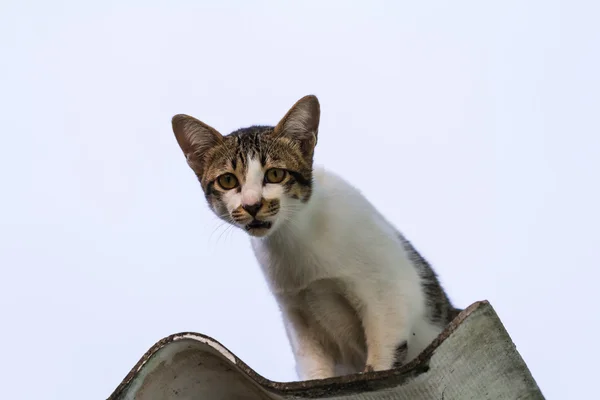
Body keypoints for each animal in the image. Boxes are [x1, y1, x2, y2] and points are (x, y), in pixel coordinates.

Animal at [171, 95, 462, 380]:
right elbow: (314, 369)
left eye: (275, 174)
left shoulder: (387, 295)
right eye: (228, 181)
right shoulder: (296, 315)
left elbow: (383, 357)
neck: (294, 241)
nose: (252, 205)